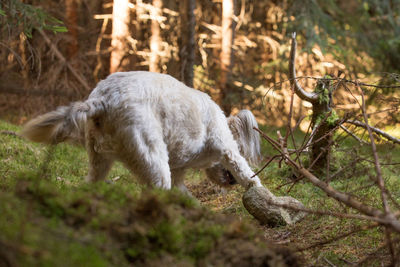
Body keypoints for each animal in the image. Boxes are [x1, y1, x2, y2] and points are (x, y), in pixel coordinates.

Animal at [21, 71, 262, 193]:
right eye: (243, 149)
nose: (230, 184)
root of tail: (103, 100)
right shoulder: (227, 149)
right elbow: (247, 174)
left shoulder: (178, 172)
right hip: (153, 158)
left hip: (100, 161)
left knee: (91, 183)